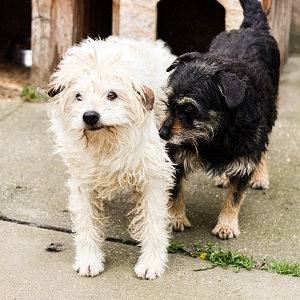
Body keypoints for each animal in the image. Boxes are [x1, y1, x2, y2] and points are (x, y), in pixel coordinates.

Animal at [45, 37, 175, 278]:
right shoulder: (83, 182)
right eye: (78, 96)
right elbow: (87, 221)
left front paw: (152, 262)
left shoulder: (152, 178)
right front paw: (89, 259)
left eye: (111, 94)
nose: (90, 116)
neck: (106, 143)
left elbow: (152, 222)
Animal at [158, 0, 280, 239]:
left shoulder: (245, 156)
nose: (162, 133)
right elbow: (175, 190)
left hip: (269, 117)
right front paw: (176, 218)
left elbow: (235, 196)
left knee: (262, 149)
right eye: (168, 100)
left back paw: (260, 175)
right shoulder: (176, 153)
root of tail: (251, 26)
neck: (216, 133)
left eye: (190, 107)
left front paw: (227, 224)